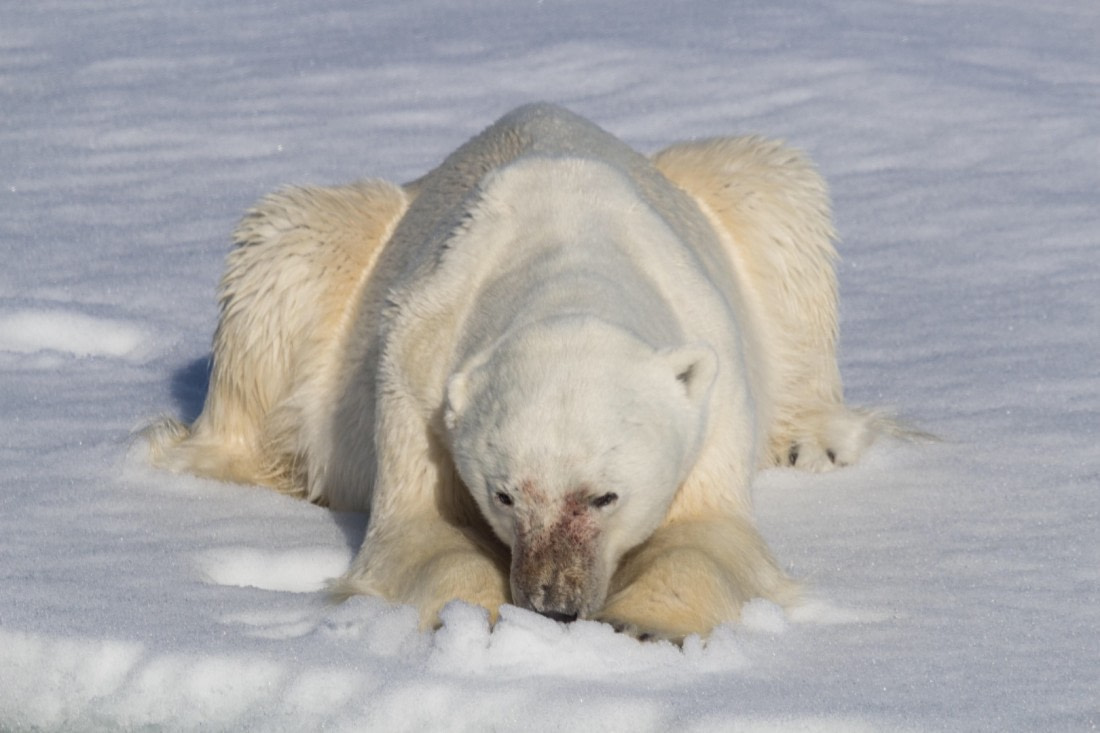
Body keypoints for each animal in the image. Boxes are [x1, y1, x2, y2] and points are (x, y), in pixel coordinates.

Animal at [146, 103, 888, 641]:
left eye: (604, 495)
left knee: (771, 188)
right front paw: (484, 618)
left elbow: (709, 532)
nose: (551, 604)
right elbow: (418, 530)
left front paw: (640, 623)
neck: (566, 252)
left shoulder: (713, 380)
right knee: (285, 250)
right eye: (503, 493)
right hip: (333, 265)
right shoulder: (415, 371)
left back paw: (813, 440)